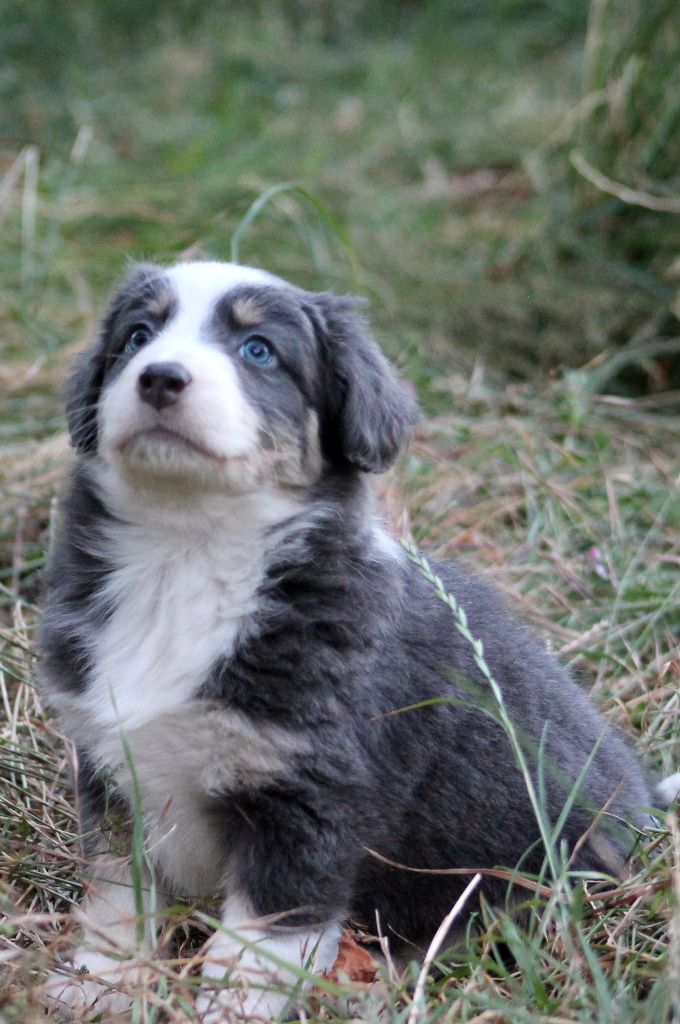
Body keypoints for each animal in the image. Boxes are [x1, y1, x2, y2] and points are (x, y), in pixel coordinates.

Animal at [39, 260, 670, 1020]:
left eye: (258, 350)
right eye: (137, 336)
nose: (159, 377)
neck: (186, 552)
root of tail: (647, 803)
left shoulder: (310, 798)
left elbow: (262, 934)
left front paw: (231, 1006)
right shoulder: (110, 770)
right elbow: (115, 895)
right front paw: (99, 981)